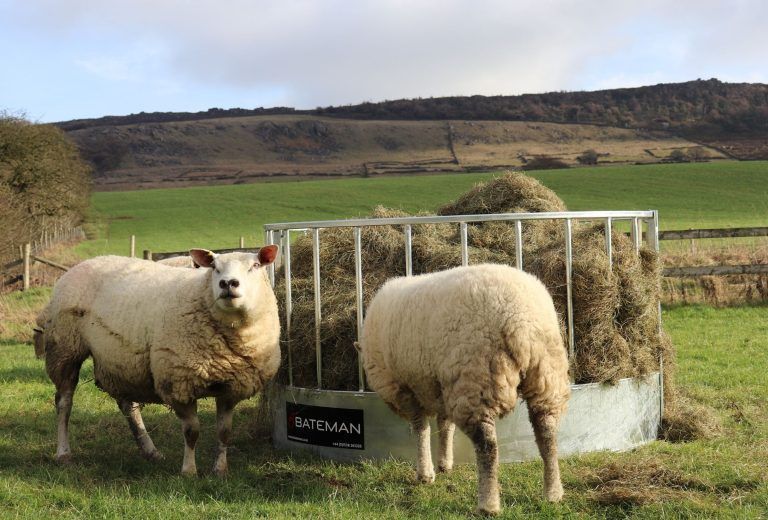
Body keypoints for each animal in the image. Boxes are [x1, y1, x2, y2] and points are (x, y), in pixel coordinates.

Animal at [35, 246, 280, 476]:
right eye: (214, 267)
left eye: (255, 265)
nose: (228, 283)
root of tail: (85, 262)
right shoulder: (178, 383)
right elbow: (192, 431)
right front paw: (188, 471)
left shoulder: (231, 389)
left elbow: (225, 432)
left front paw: (220, 470)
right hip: (65, 349)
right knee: (64, 403)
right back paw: (64, 453)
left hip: (123, 362)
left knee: (128, 406)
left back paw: (150, 450)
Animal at [359, 263, 570, 515]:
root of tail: (521, 321)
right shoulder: (442, 385)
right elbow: (445, 425)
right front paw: (444, 463)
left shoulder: (408, 389)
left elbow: (421, 429)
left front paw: (425, 473)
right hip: (547, 375)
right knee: (547, 433)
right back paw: (553, 493)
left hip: (475, 378)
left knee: (488, 446)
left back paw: (488, 504)